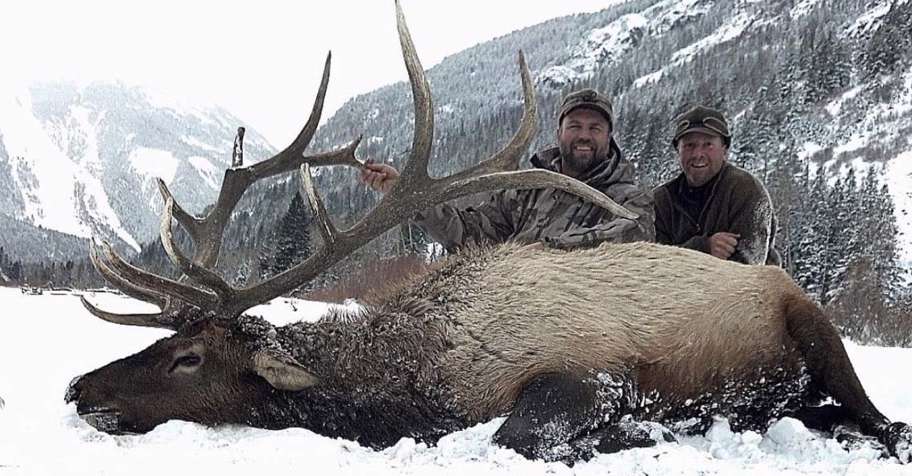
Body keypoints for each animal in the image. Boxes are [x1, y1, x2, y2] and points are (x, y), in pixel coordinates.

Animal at [66, 1, 912, 464]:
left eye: (188, 357)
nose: (77, 387)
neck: (419, 375)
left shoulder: (587, 369)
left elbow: (520, 434)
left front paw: (646, 436)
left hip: (814, 324)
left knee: (879, 418)